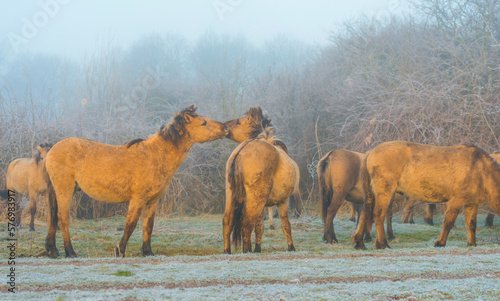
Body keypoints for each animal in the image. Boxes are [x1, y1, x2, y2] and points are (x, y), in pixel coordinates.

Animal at [45, 104, 229, 256]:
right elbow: (130, 224)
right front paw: (120, 250)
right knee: (62, 218)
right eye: (204, 123)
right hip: (65, 191)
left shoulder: (152, 201)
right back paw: (70, 252)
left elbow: (148, 225)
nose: (226, 128)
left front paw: (147, 252)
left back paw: (52, 249)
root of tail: (51, 150)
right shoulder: (138, 199)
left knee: (53, 216)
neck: (155, 156)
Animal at [224, 124, 300, 253]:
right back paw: (247, 251)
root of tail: (241, 152)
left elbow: (259, 226)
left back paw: (227, 251)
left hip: (234, 196)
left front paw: (257, 248)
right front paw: (291, 247)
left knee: (227, 222)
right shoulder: (283, 201)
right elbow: (285, 224)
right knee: (246, 223)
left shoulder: (262, 205)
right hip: (256, 200)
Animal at [352, 141, 500, 248]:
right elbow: (448, 222)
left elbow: (471, 224)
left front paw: (472, 243)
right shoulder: (456, 201)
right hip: (385, 192)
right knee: (378, 215)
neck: (480, 168)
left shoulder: (471, 204)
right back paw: (382, 243)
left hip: (371, 194)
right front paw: (440, 242)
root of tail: (371, 152)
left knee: (365, 213)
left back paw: (359, 242)